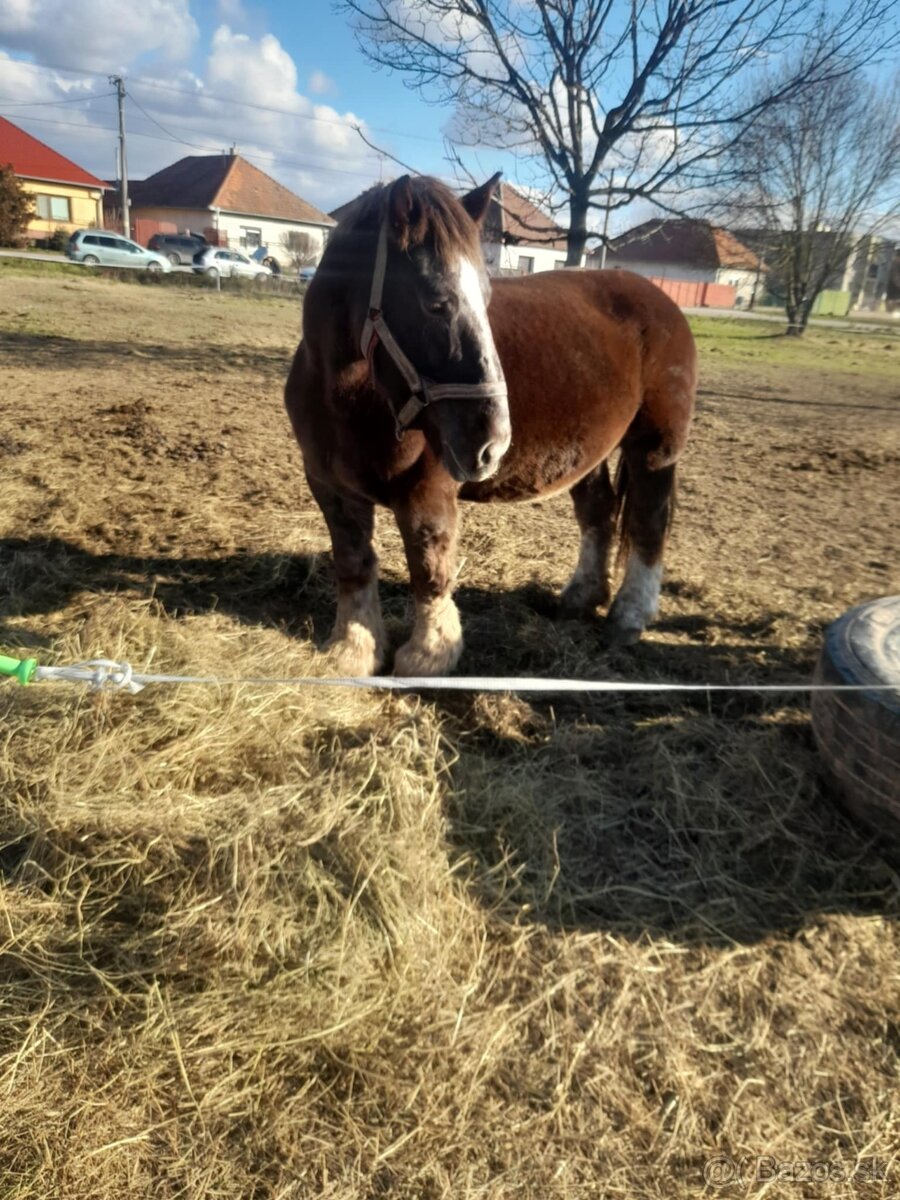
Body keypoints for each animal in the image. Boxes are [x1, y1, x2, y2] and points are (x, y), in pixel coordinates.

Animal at [282, 171, 696, 676]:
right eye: (436, 303)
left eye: (486, 298)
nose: (492, 444)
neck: (347, 396)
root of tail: (660, 299)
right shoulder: (330, 488)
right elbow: (353, 564)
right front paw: (352, 651)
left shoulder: (427, 493)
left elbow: (430, 569)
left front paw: (429, 656)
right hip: (588, 453)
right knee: (597, 512)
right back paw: (580, 598)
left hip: (654, 447)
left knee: (649, 523)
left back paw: (630, 616)